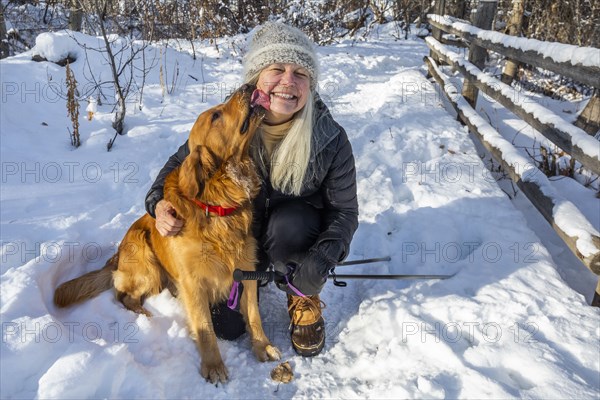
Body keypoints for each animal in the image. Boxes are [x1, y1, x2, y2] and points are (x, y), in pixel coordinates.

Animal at [54, 83, 278, 382]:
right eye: (216, 116)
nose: (247, 86)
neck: (218, 205)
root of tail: (116, 256)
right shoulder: (194, 283)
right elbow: (205, 328)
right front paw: (213, 366)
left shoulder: (246, 271)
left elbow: (253, 315)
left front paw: (263, 346)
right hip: (147, 263)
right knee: (124, 296)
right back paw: (146, 316)